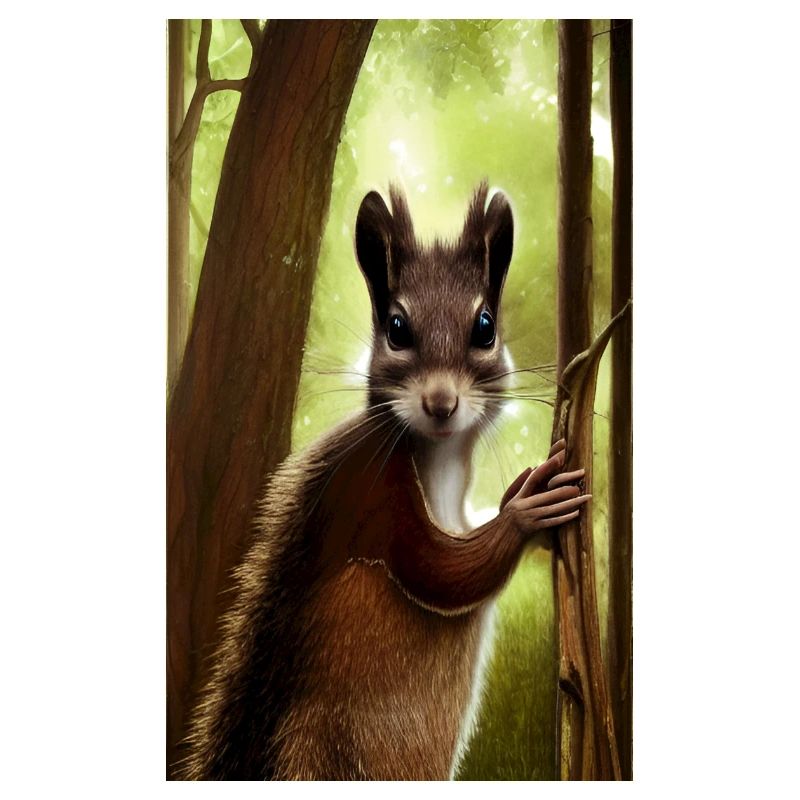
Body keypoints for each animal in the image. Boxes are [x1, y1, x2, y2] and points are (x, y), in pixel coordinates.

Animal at [178, 181, 590, 780]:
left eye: (485, 326)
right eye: (397, 329)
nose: (441, 403)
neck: (441, 462)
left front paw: (521, 490)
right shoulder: (370, 490)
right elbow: (440, 571)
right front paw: (528, 508)